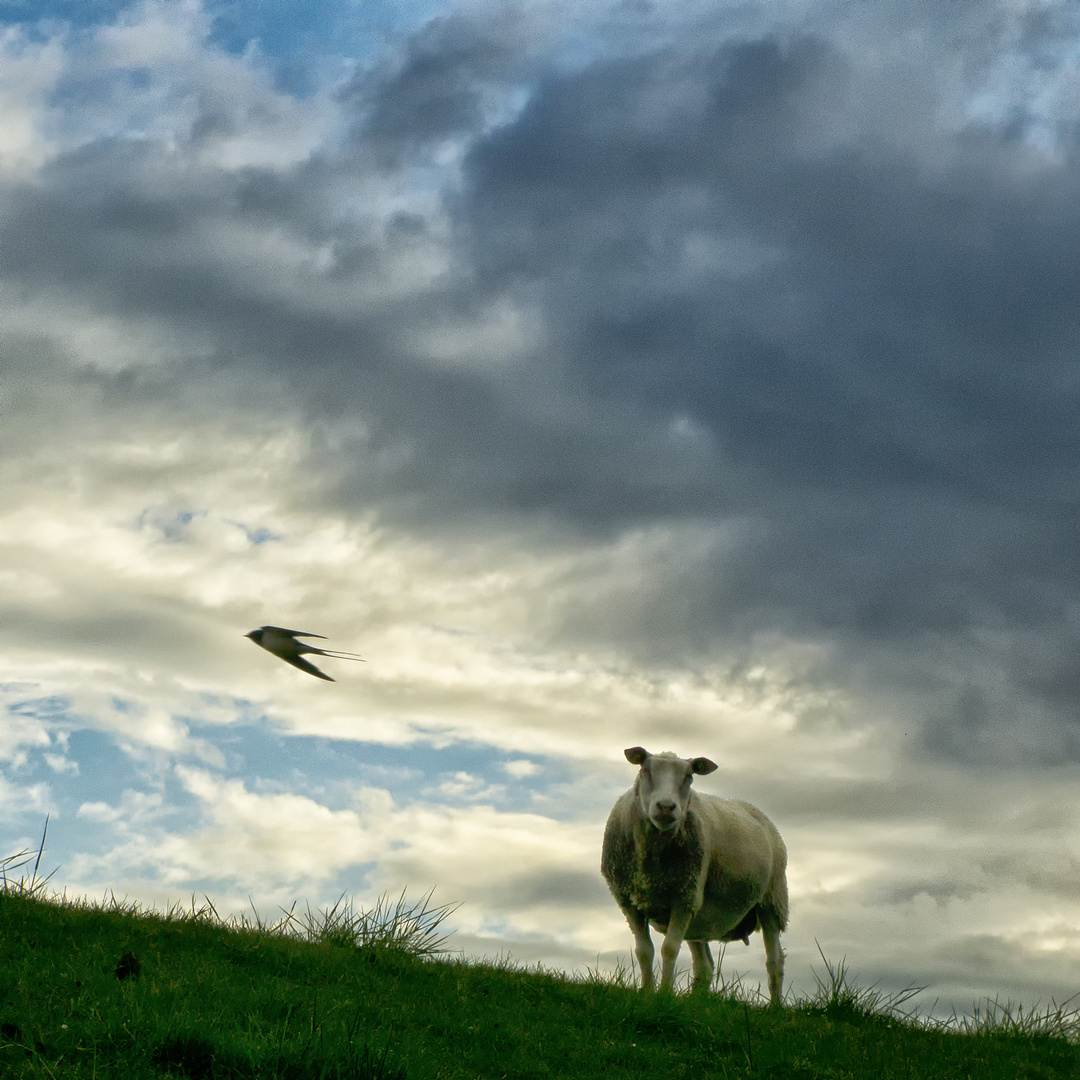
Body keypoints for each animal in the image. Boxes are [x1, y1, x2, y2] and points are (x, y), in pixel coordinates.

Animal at [600, 743, 786, 1002]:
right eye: (645, 769)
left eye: (689, 776)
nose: (666, 807)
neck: (651, 858)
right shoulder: (628, 901)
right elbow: (644, 951)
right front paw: (647, 992)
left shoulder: (684, 898)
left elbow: (669, 949)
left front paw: (665, 993)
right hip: (700, 917)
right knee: (705, 966)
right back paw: (697, 1002)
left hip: (771, 899)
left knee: (774, 962)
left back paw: (775, 1006)